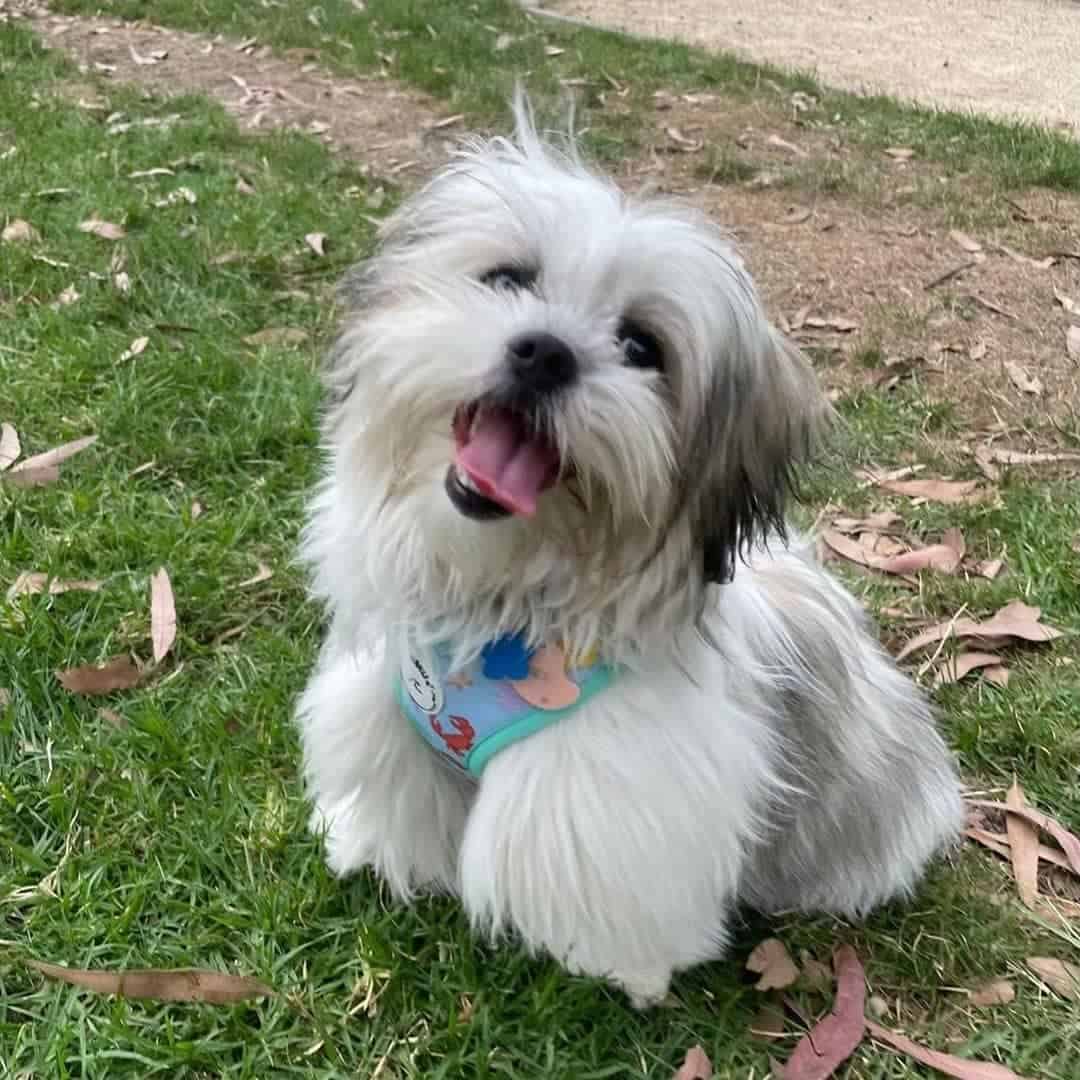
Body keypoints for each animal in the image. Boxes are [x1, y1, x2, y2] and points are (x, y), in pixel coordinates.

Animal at [295, 97, 963, 1006]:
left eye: (643, 347)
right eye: (509, 279)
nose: (545, 351)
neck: (507, 595)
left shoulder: (612, 794)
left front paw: (620, 967)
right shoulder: (387, 706)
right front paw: (369, 846)